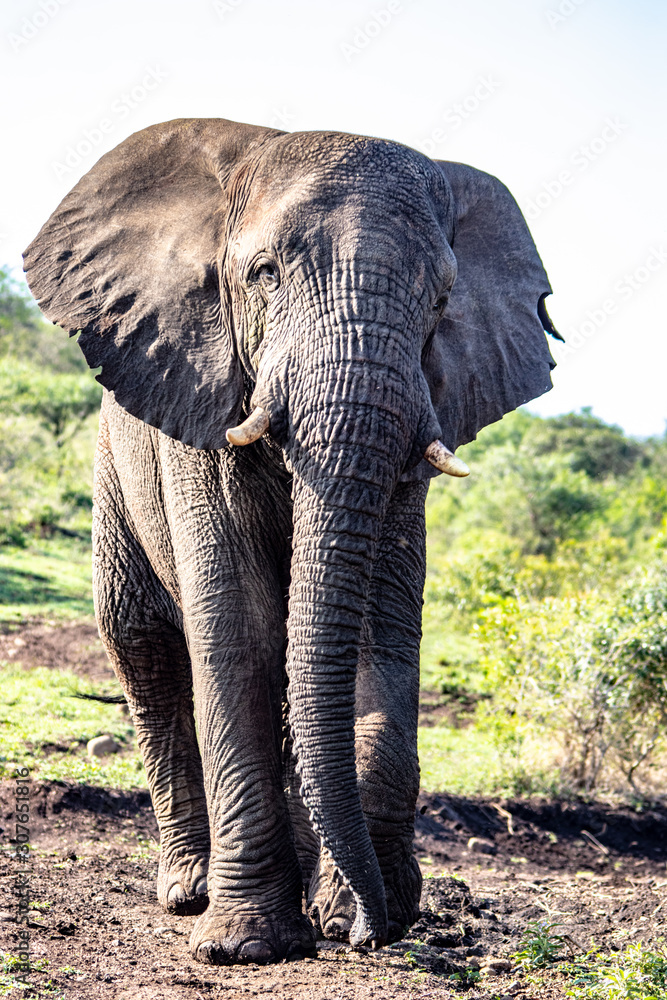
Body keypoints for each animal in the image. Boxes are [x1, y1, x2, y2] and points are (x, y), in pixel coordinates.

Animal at [23, 117, 560, 965]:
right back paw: (189, 891)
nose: (373, 934)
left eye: (442, 298)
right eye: (264, 274)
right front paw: (246, 946)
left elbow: (378, 627)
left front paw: (355, 914)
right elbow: (235, 629)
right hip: (110, 471)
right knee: (142, 648)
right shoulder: (199, 400)